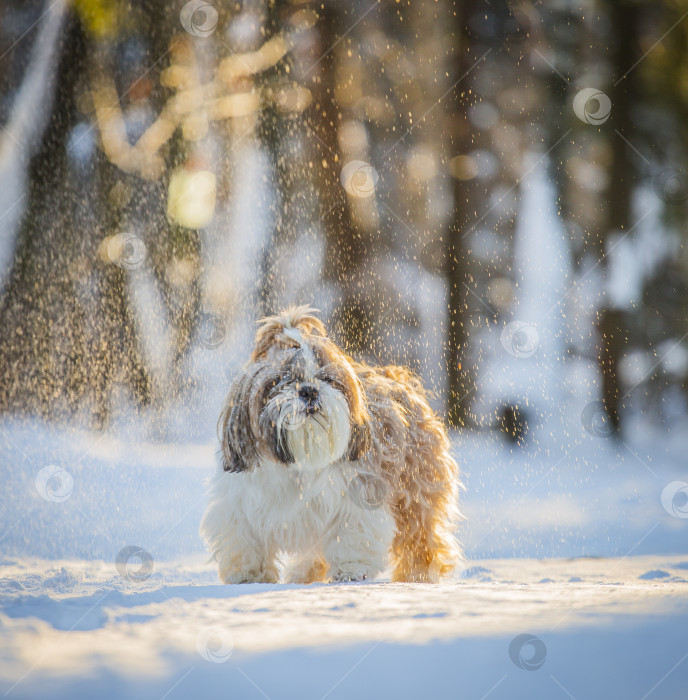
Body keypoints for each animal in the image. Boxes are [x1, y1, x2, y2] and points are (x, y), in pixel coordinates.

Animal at [202, 306, 464, 584]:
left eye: (327, 378)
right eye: (282, 380)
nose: (308, 390)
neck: (300, 462)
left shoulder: (358, 496)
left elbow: (351, 535)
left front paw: (350, 571)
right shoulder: (239, 503)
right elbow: (246, 540)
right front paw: (250, 576)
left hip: (415, 492)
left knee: (421, 538)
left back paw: (418, 575)